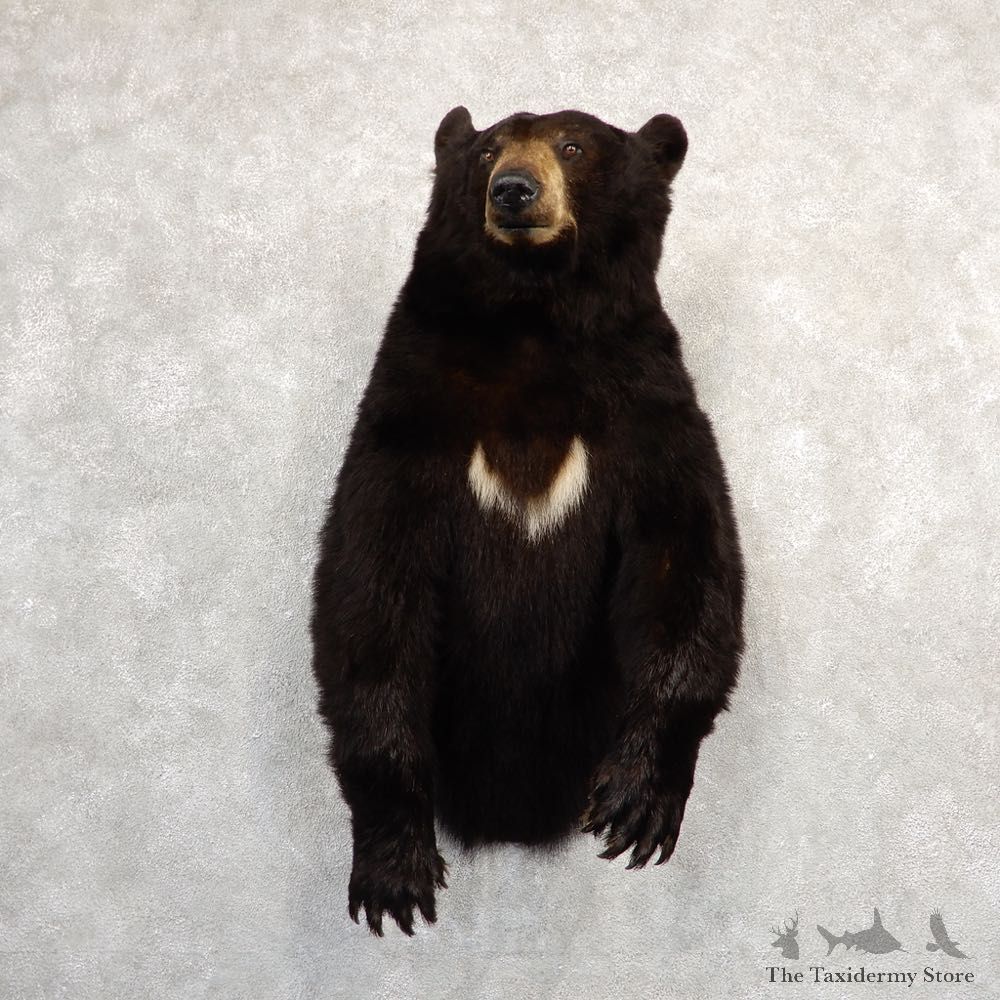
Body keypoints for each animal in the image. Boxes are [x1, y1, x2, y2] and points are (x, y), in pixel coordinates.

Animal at [310, 106, 746, 936]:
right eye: (485, 152)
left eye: (573, 145)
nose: (513, 189)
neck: (533, 326)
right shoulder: (411, 413)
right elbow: (370, 589)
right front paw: (394, 863)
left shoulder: (646, 406)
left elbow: (686, 561)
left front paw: (637, 801)